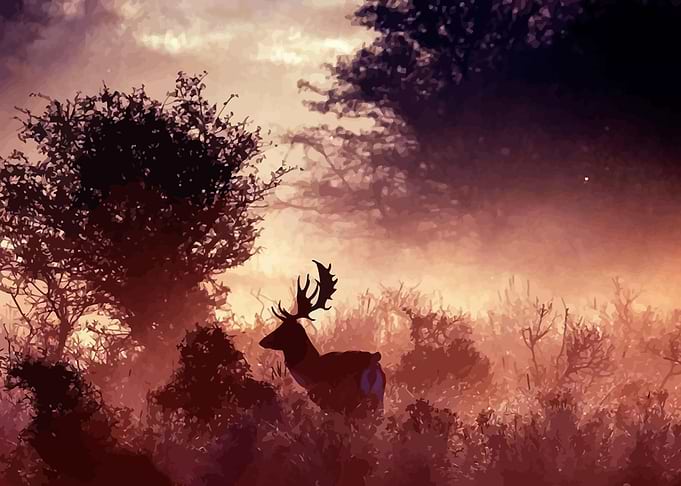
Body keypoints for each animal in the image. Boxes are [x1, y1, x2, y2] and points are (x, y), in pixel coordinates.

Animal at [259, 260, 386, 416]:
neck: (311, 372)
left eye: (284, 328)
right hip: (379, 399)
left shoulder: (327, 401)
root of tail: (374, 359)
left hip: (352, 398)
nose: (263, 341)